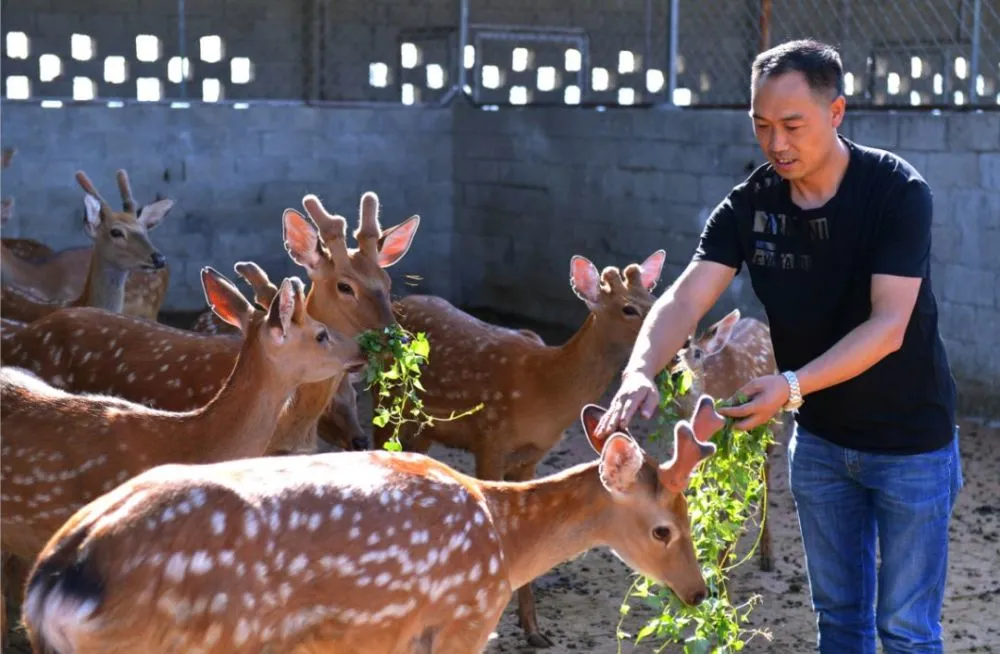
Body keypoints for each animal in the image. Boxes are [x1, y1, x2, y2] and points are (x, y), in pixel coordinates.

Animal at [372, 249, 668, 648]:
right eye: (628, 309)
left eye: (653, 300)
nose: (684, 342)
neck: (543, 390)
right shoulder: (490, 438)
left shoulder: (531, 456)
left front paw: (534, 630)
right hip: (382, 400)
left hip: (424, 427)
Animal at [668, 310, 784, 572]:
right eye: (669, 358)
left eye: (697, 353)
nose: (678, 374)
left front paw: (721, 572)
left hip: (771, 425)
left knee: (765, 477)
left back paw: (767, 555)